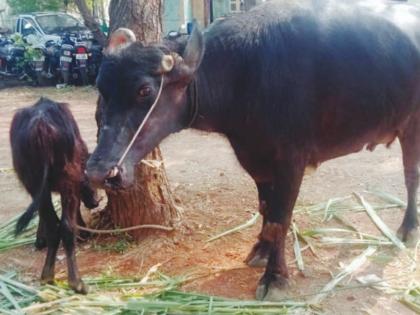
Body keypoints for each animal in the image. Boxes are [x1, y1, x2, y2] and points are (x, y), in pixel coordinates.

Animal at [87, 0, 420, 302]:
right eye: (101, 87)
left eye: (145, 90)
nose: (100, 171)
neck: (244, 73)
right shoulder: (254, 159)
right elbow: (265, 209)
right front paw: (261, 249)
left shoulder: (291, 160)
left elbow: (279, 219)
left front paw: (275, 277)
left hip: (412, 129)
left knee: (410, 176)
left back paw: (407, 229)